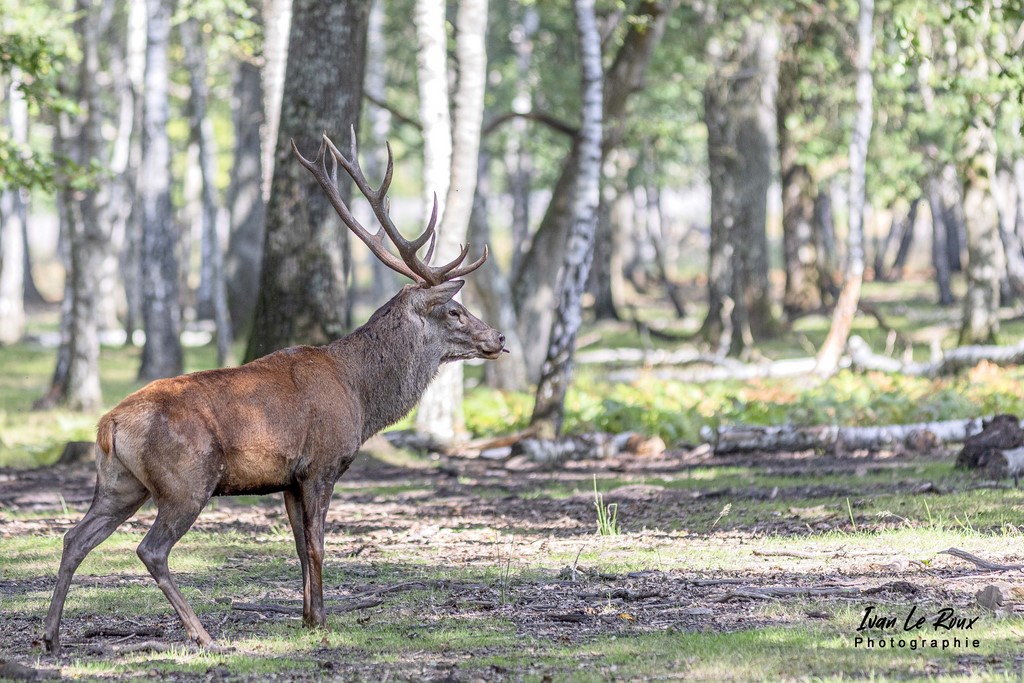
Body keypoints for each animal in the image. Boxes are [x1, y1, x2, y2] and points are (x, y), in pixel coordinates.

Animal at [43, 130, 506, 656]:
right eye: (454, 311)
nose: (498, 338)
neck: (361, 396)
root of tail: (109, 423)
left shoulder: (288, 479)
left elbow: (300, 547)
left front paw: (307, 617)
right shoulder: (322, 463)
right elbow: (318, 544)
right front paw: (322, 620)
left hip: (120, 483)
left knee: (74, 538)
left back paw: (51, 636)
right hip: (185, 481)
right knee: (150, 549)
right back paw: (203, 635)